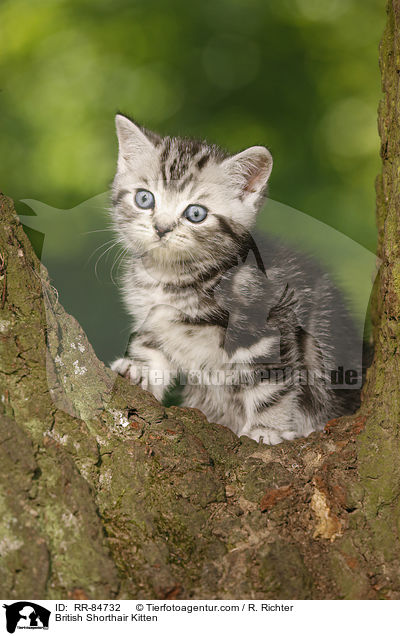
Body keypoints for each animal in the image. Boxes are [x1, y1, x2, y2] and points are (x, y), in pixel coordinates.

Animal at [111, 112, 360, 444]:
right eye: (144, 198)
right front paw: (138, 369)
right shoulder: (154, 318)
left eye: (195, 214)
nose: (161, 228)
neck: (175, 278)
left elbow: (270, 384)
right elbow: (152, 348)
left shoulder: (266, 328)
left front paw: (267, 429)